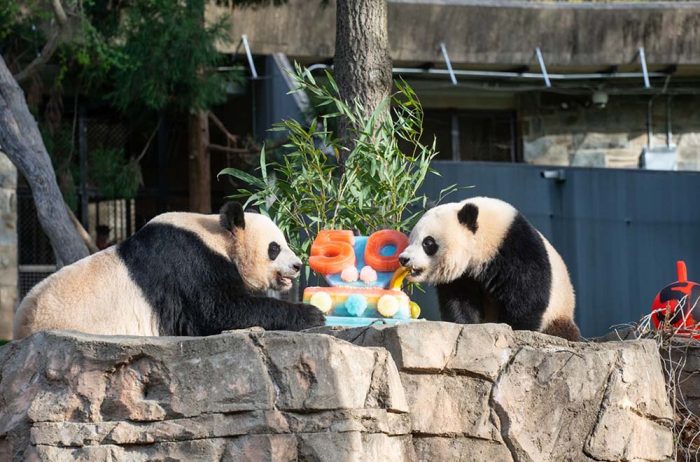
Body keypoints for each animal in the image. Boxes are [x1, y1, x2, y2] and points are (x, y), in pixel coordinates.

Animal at [13, 202, 326, 340]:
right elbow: (218, 311)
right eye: (275, 248)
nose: (297, 265)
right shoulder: (189, 264)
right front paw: (312, 314)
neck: (216, 236)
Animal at [400, 197, 580, 342]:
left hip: (558, 312)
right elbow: (459, 299)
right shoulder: (463, 275)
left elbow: (527, 294)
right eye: (411, 239)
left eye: (428, 242)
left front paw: (515, 328)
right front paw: (465, 324)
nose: (403, 259)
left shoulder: (516, 248)